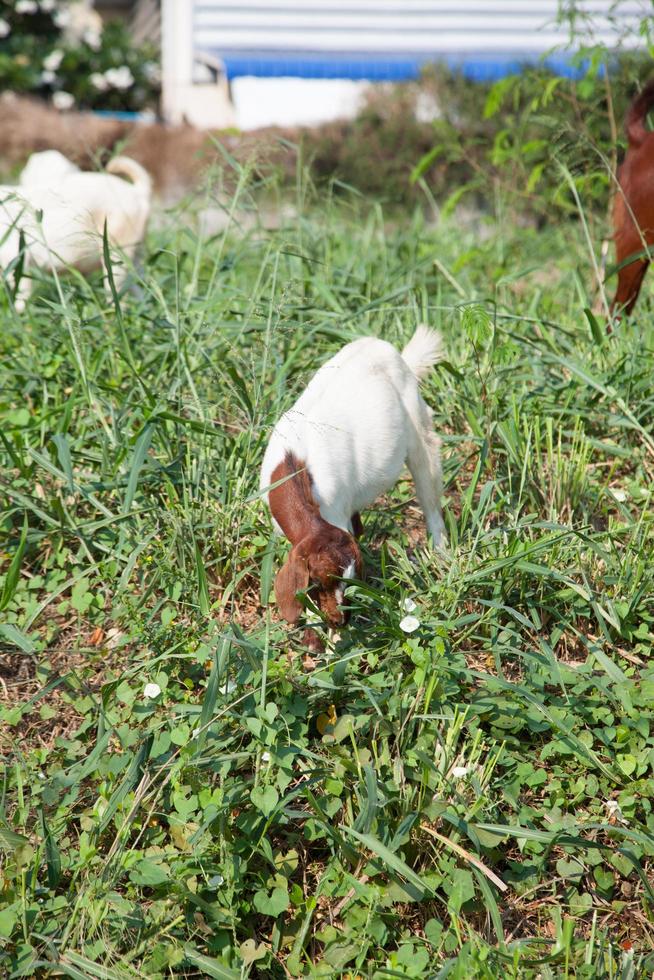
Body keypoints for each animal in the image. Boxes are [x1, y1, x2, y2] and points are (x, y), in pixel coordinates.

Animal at [258, 324, 448, 652]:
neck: (294, 466)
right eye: (319, 581)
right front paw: (315, 640)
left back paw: (442, 554)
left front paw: (331, 646)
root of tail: (385, 349)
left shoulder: (334, 513)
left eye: (350, 580)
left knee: (428, 487)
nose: (340, 621)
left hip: (417, 425)